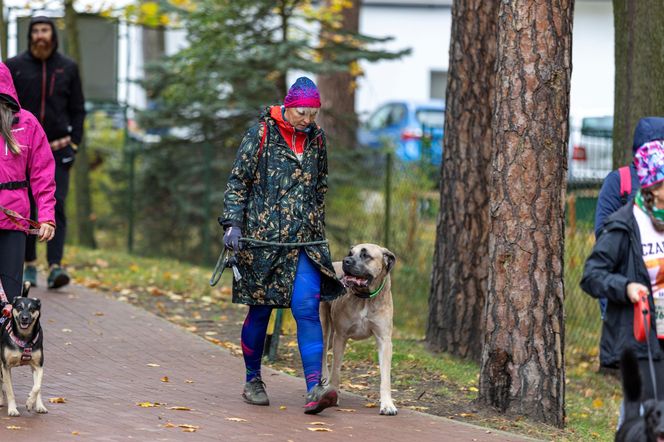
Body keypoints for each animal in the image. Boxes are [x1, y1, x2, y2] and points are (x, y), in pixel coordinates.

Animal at [0, 284, 46, 416]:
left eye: (32, 309)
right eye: (19, 307)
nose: (24, 318)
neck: (24, 338)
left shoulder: (38, 365)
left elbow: (37, 387)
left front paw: (30, 402)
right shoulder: (5, 366)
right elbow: (10, 390)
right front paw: (12, 409)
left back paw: (39, 406)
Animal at [320, 243, 396, 416]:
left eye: (365, 255)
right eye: (350, 253)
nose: (346, 261)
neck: (366, 298)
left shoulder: (384, 340)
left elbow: (385, 377)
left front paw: (387, 404)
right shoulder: (340, 337)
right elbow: (336, 370)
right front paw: (333, 393)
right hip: (324, 329)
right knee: (322, 355)